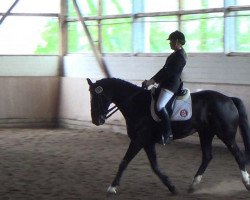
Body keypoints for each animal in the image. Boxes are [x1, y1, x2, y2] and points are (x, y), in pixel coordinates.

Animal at [86, 77, 250, 195]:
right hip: (206, 133)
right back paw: (193, 185)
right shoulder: (147, 142)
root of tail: (229, 99)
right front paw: (171, 186)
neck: (136, 104)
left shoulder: (139, 140)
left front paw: (112, 187)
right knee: (207, 157)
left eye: (96, 97)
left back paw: (246, 183)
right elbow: (155, 166)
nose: (96, 120)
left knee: (238, 156)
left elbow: (124, 162)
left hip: (225, 135)